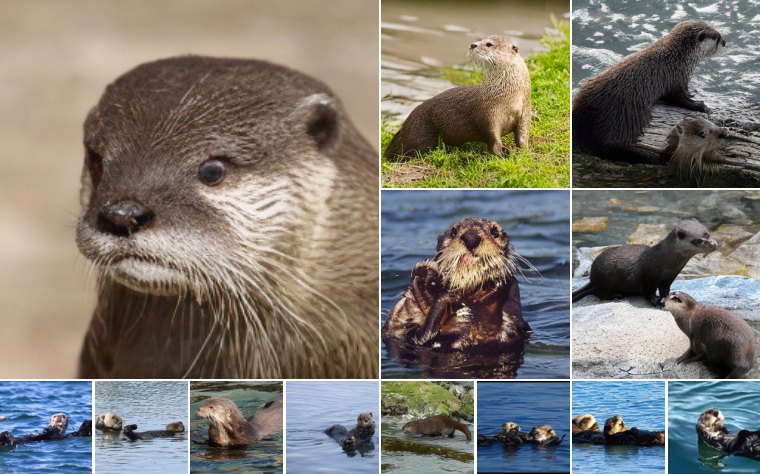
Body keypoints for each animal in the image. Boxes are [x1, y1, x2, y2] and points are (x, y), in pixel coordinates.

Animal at [382, 217, 532, 352]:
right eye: (453, 232)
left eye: (494, 231)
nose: (471, 237)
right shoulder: (401, 324)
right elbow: (412, 335)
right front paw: (427, 276)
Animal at [386, 35, 531, 157]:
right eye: (480, 39)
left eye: (489, 44)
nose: (473, 44)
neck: (508, 97)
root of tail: (404, 127)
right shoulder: (488, 114)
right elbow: (492, 137)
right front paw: (501, 152)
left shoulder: (524, 112)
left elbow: (522, 134)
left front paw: (524, 150)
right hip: (419, 134)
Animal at [572, 218, 717, 307]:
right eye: (697, 240)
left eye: (707, 234)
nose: (713, 244)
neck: (665, 263)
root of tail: (592, 278)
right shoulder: (649, 276)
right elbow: (648, 292)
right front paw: (656, 302)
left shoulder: (670, 277)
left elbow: (665, 290)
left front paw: (669, 299)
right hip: (604, 282)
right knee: (600, 293)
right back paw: (616, 296)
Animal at [573, 20, 725, 162]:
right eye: (716, 37)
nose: (724, 42)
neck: (678, 58)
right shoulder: (677, 78)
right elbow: (679, 99)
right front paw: (701, 106)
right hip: (627, 116)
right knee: (612, 147)